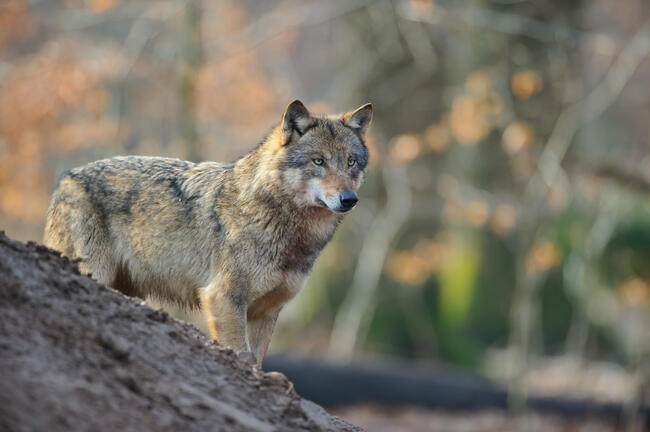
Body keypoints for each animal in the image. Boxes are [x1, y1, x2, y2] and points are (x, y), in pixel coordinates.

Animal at [44, 100, 370, 364]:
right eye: (319, 161)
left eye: (351, 162)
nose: (350, 199)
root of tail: (65, 178)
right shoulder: (223, 298)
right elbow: (241, 354)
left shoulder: (266, 312)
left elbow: (258, 362)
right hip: (95, 273)